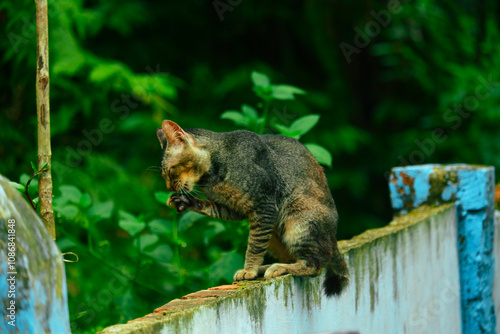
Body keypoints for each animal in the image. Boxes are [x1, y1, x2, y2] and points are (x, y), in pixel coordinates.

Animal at [156, 119, 348, 294]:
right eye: (164, 175)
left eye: (170, 171)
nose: (169, 187)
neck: (210, 179)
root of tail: (334, 243)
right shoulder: (234, 209)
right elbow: (209, 207)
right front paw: (184, 201)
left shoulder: (264, 206)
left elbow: (254, 246)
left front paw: (249, 270)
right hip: (275, 237)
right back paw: (266, 267)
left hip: (299, 222)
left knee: (313, 265)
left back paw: (278, 268)